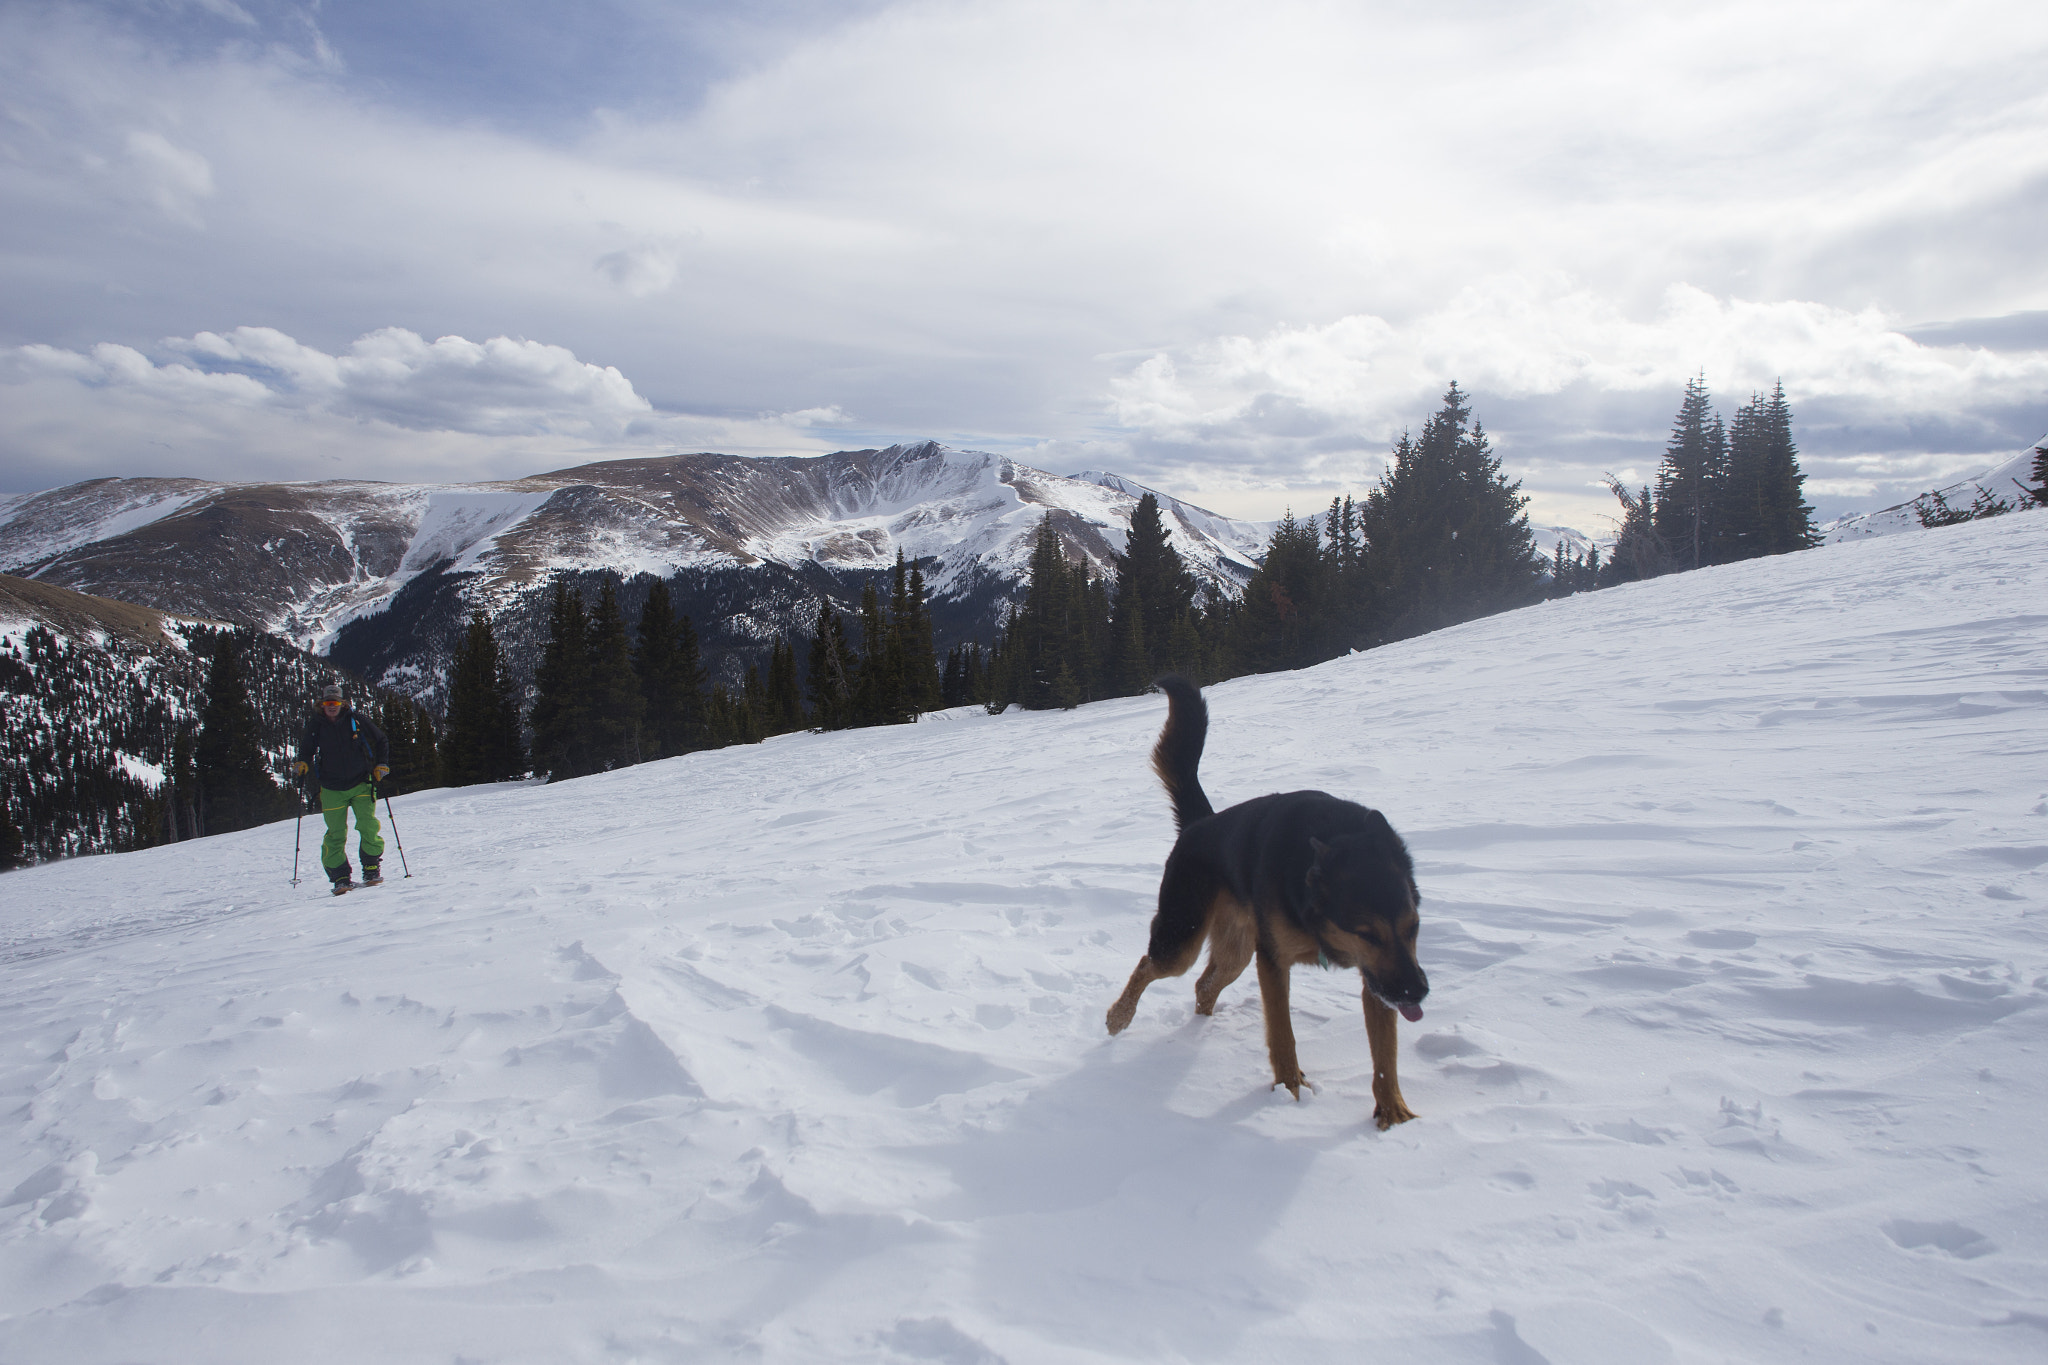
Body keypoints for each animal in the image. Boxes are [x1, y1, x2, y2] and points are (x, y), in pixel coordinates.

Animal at [1105, 671, 1425, 1129]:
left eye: (1413, 926)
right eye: (1367, 933)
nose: (1418, 993)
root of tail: (1201, 823)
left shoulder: (1379, 976)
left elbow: (1385, 1052)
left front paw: (1393, 1112)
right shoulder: (1274, 960)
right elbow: (1282, 1034)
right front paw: (1289, 1092)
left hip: (1236, 950)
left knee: (1204, 985)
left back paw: (1199, 1034)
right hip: (1183, 938)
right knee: (1151, 965)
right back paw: (1119, 1017)